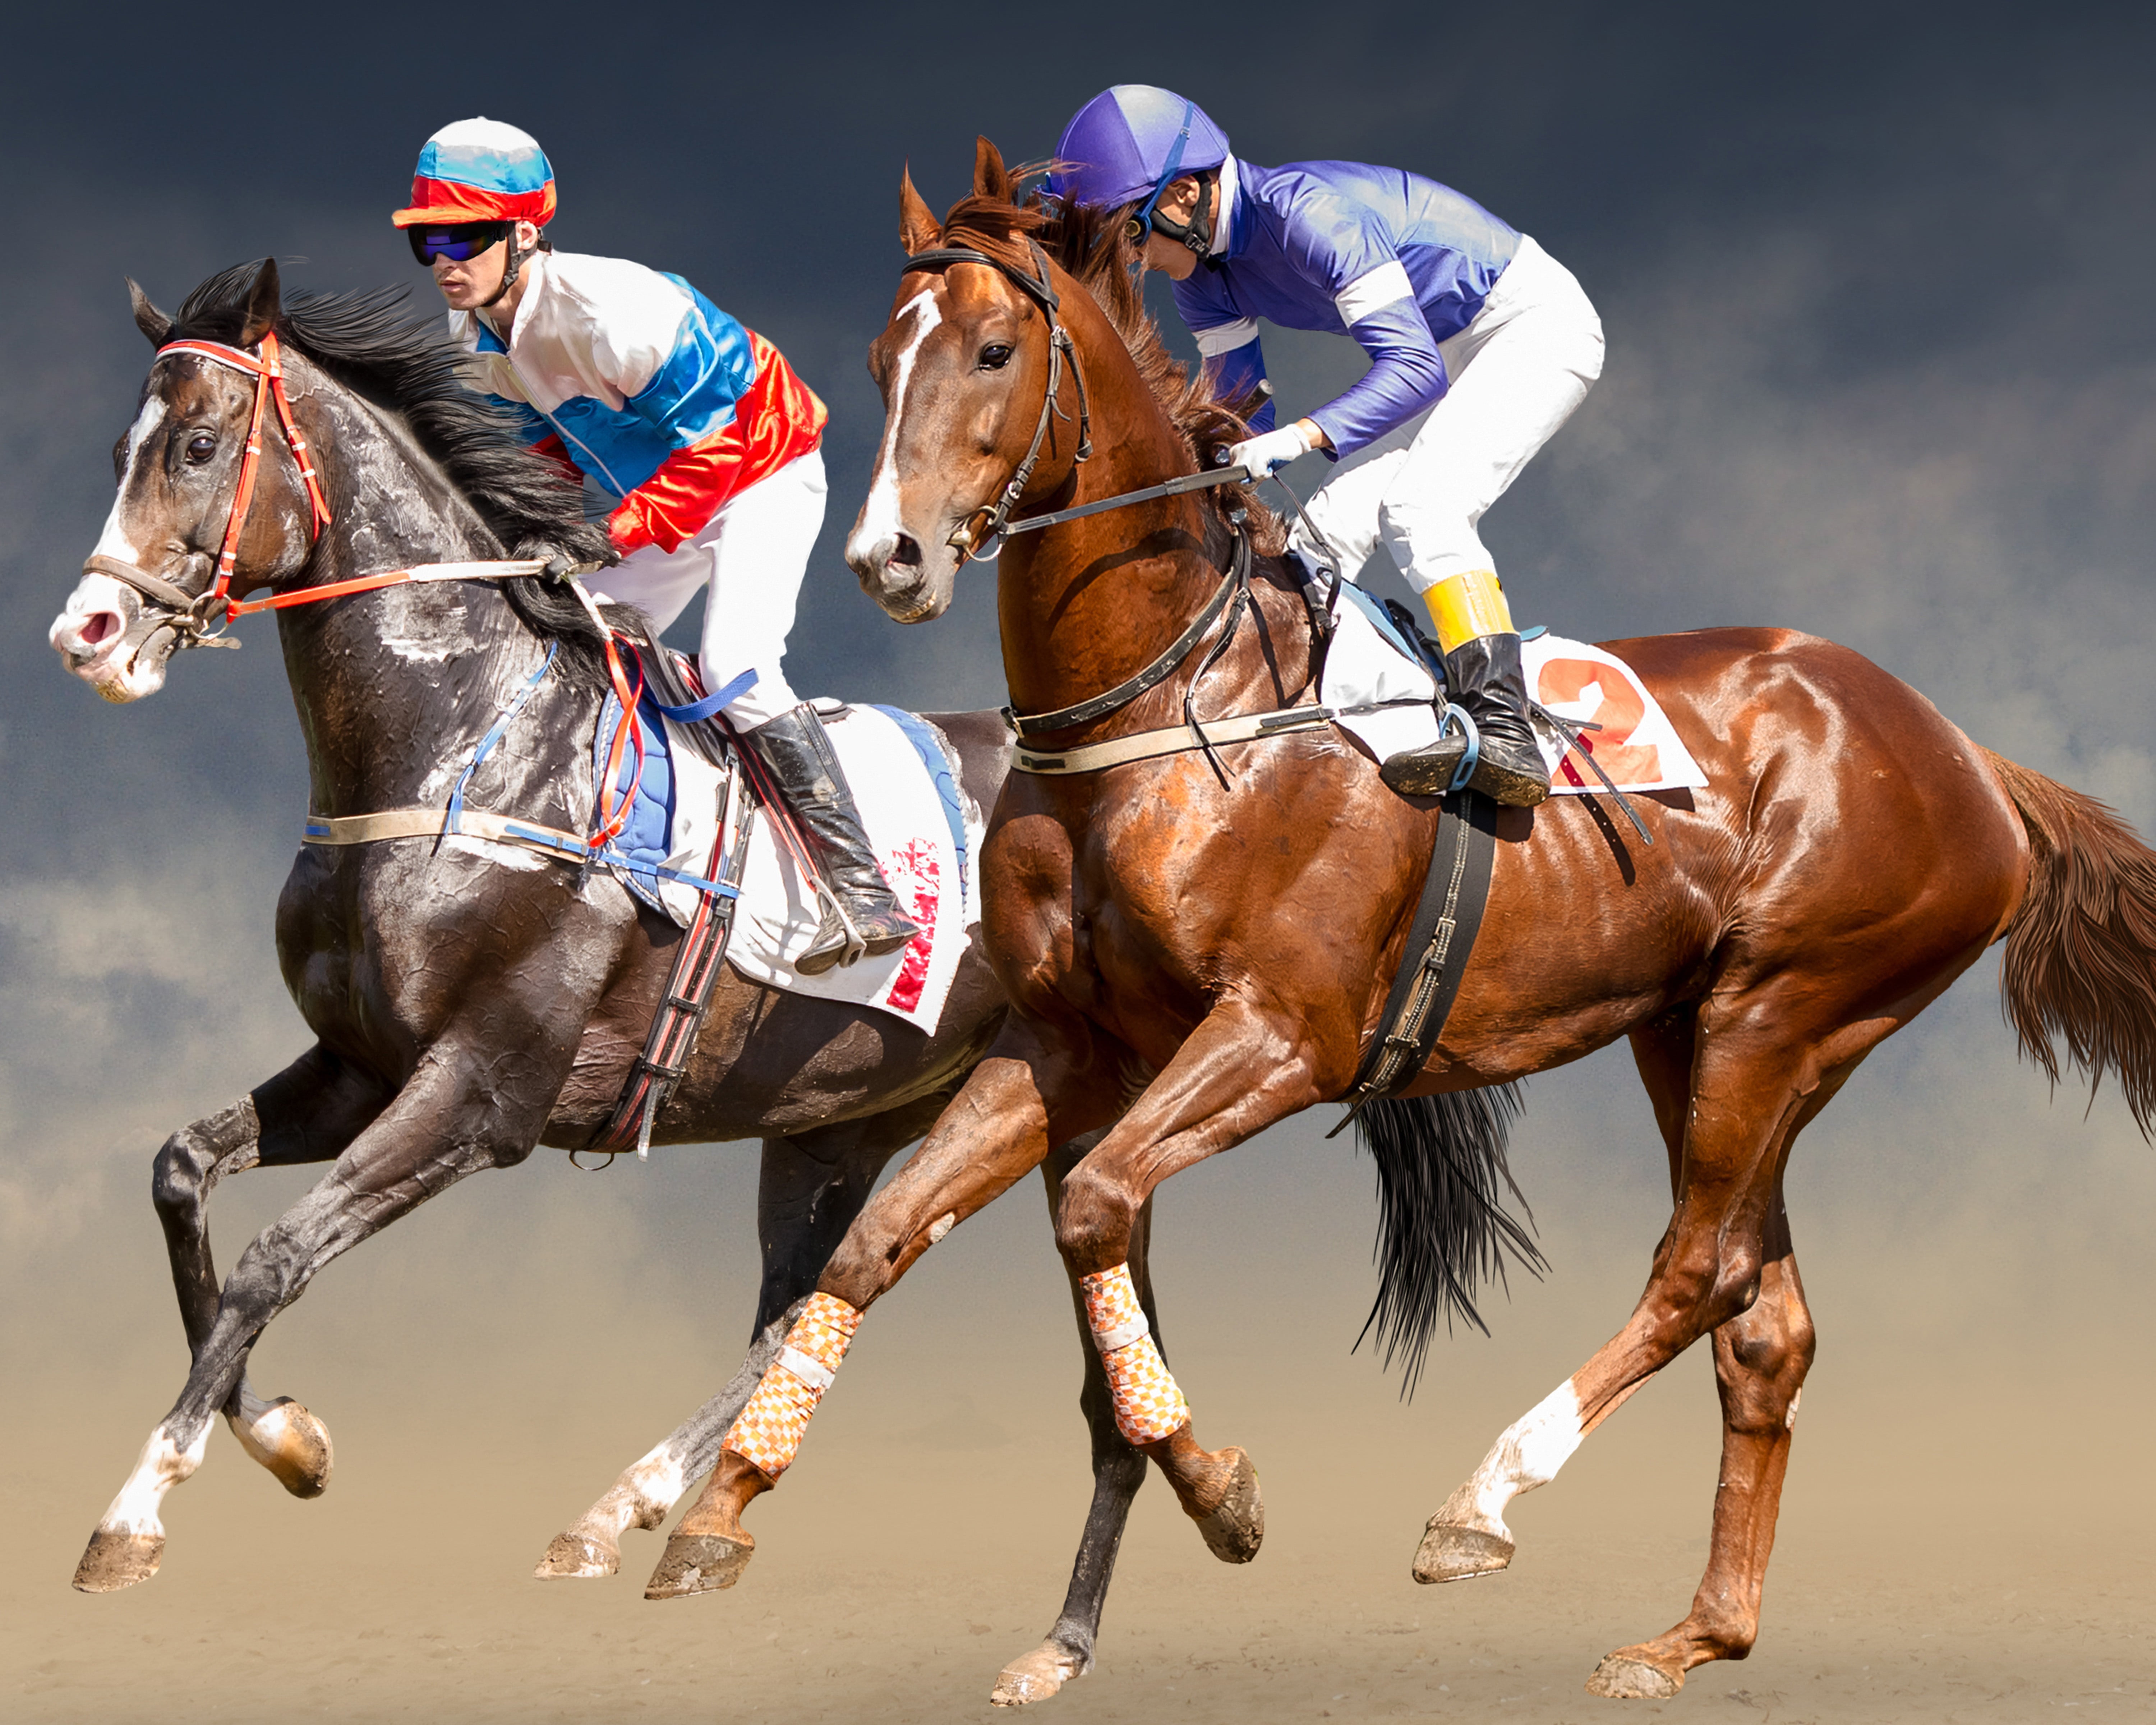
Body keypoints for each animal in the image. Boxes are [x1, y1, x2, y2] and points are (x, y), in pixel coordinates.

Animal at [45, 260, 1175, 1651]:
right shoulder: (360, 1066)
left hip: (1045, 1095)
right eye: (121, 451)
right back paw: (624, 1512)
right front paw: (287, 1438)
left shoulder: (482, 1091)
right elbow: (182, 1177)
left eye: (198, 448)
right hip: (837, 1118)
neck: (460, 737)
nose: (87, 633)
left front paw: (140, 1506)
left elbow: (274, 1256)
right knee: (801, 1297)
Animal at [650, 138, 2156, 1705]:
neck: (1174, 703)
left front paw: (1221, 1491)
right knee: (1765, 1319)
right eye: (881, 359)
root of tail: (1965, 753)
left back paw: (1483, 1502)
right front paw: (718, 1510)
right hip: (1696, 1035)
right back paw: (1695, 1636)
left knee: (1698, 1269)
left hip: (1787, 1009)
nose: (887, 557)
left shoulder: (1282, 1034)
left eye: (995, 350)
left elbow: (1095, 1204)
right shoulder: (1071, 1046)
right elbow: (881, 1237)